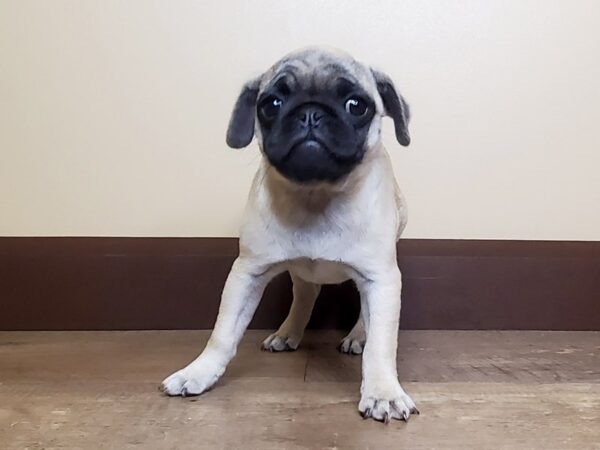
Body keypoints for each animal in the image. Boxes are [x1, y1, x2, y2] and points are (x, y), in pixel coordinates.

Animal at [162, 45, 420, 422]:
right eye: (271, 104)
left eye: (356, 105)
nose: (311, 114)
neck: (315, 194)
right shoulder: (246, 274)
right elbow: (222, 334)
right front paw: (198, 372)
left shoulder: (381, 279)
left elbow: (381, 344)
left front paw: (383, 393)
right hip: (300, 272)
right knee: (306, 294)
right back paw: (287, 332)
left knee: (363, 315)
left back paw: (358, 336)